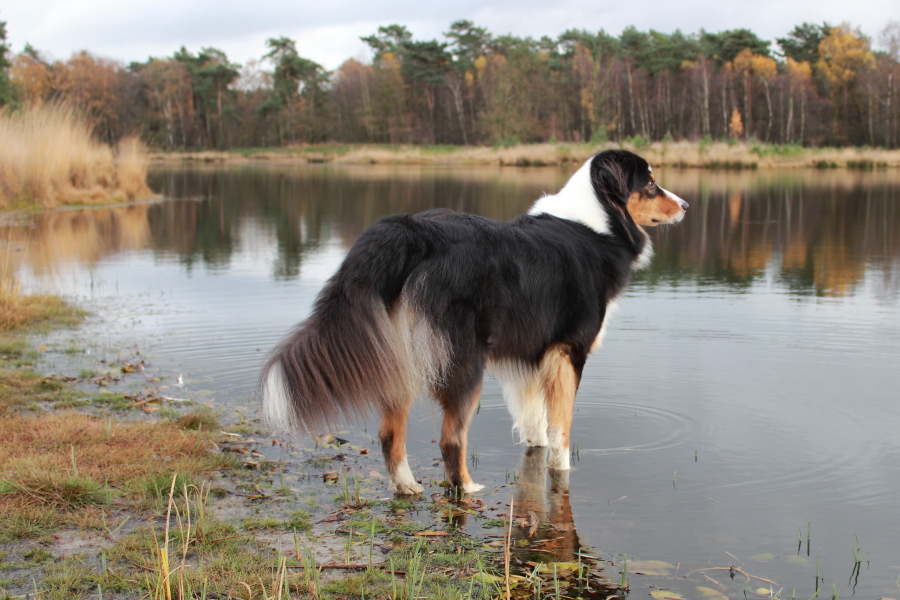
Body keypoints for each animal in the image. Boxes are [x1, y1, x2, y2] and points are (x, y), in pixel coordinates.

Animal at [260, 151, 688, 496]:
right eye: (650, 183)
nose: (686, 205)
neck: (597, 218)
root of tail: (409, 231)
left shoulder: (527, 355)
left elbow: (534, 421)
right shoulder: (568, 351)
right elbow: (561, 426)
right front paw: (562, 470)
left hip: (398, 354)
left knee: (389, 432)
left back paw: (407, 486)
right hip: (463, 360)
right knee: (451, 437)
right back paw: (465, 487)